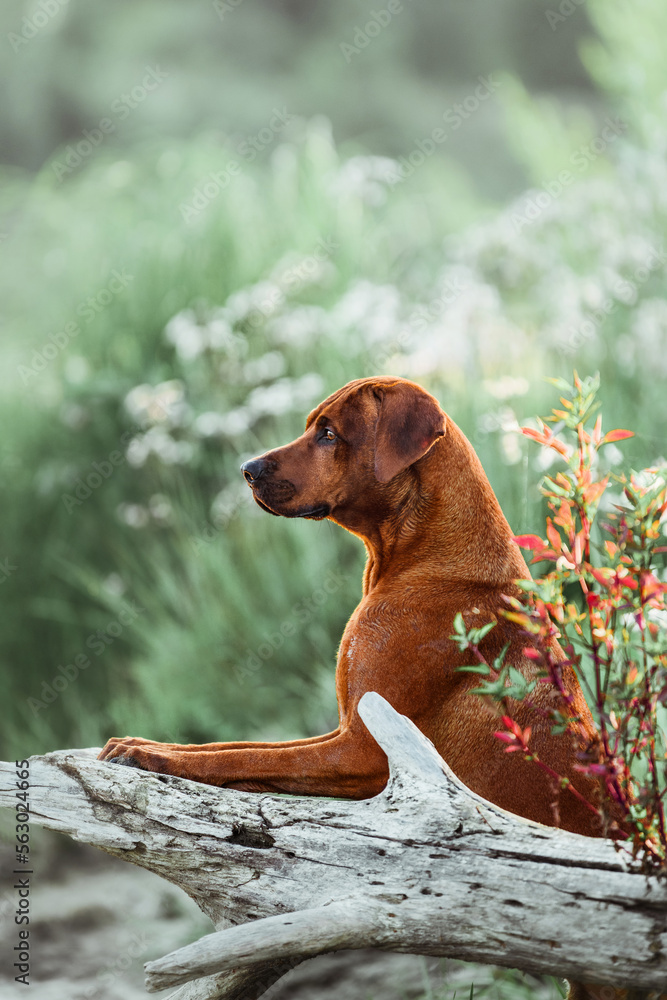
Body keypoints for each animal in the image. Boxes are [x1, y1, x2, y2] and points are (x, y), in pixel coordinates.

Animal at [98, 376, 612, 1000]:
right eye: (311, 426)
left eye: (328, 434)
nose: (247, 469)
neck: (424, 559)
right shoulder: (343, 729)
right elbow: (232, 748)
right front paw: (145, 747)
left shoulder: (363, 751)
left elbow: (238, 756)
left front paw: (149, 758)